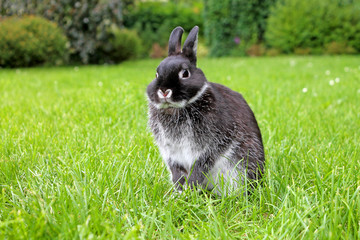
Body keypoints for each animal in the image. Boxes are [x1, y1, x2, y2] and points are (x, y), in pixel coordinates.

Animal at [146, 26, 264, 195]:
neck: (176, 109)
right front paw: (180, 191)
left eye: (185, 74)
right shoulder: (171, 152)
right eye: (156, 74)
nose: (164, 91)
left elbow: (200, 167)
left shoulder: (211, 146)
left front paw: (190, 189)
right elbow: (177, 171)